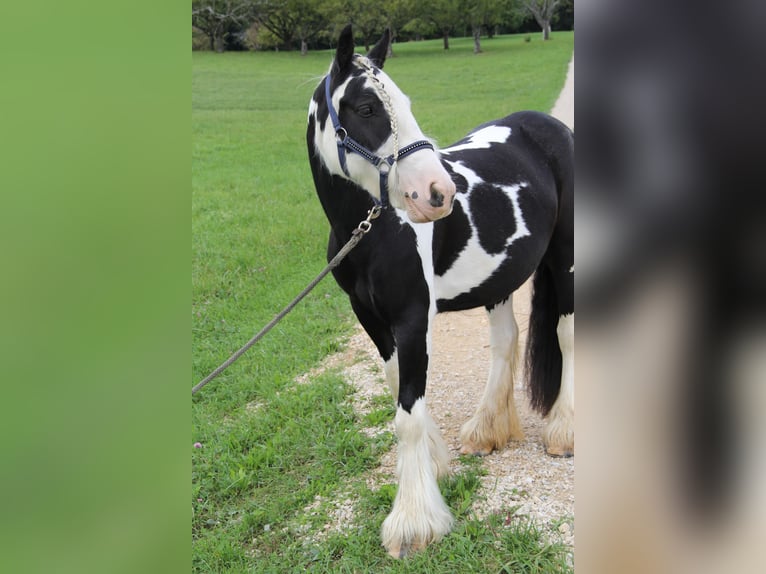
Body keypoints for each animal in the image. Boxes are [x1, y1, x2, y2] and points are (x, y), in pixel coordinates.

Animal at [306, 24, 576, 560]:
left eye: (405, 102)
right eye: (366, 108)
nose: (438, 194)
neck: (372, 230)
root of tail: (549, 127)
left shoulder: (413, 318)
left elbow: (407, 415)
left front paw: (414, 522)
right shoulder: (370, 317)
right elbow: (397, 388)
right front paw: (437, 465)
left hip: (566, 255)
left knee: (567, 334)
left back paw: (564, 432)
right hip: (498, 279)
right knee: (506, 341)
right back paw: (487, 431)